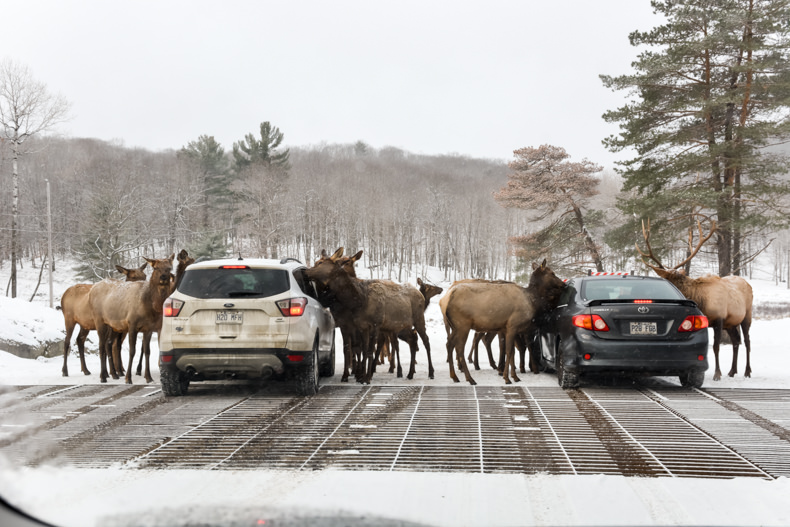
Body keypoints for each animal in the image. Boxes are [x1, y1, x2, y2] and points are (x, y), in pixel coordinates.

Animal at [90, 255, 176, 384]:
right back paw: (103, 376)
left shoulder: (149, 328)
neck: (152, 307)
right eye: (155, 267)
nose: (164, 277)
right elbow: (132, 351)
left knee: (108, 344)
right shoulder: (132, 324)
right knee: (101, 346)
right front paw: (128, 378)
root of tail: (91, 290)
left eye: (169, 268)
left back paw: (111, 374)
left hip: (112, 325)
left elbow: (147, 351)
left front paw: (148, 377)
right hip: (99, 320)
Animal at [636, 221, 756, 382]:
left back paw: (747, 371)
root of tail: (748, 284)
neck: (702, 301)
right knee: (736, 341)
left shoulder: (719, 319)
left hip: (747, 315)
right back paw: (732, 371)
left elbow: (716, 346)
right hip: (731, 323)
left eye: (671, 282)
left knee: (747, 341)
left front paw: (717, 374)